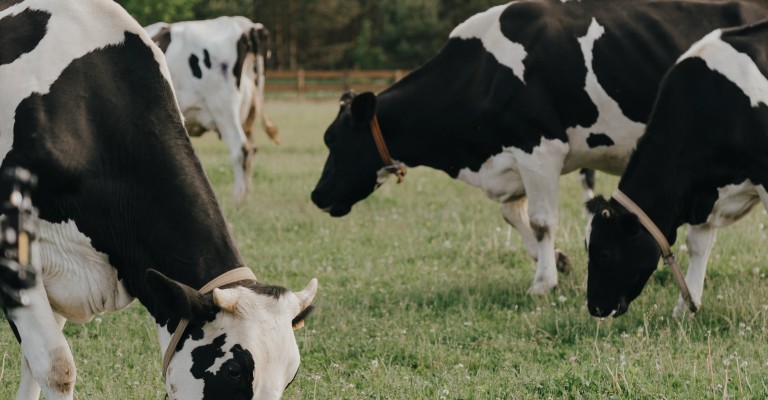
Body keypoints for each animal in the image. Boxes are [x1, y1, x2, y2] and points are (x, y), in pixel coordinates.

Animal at [145, 17, 280, 204]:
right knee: (251, 150)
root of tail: (246, 25)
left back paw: (237, 200)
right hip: (248, 115)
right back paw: (245, 198)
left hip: (224, 109)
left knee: (242, 149)